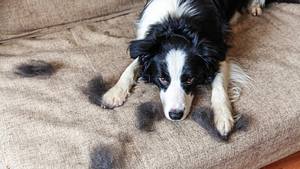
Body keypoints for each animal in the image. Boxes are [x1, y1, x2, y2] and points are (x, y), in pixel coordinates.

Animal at [101, 0, 296, 137]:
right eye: (162, 78)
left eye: (190, 79)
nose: (176, 115)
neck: (177, 26)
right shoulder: (146, 45)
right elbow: (132, 66)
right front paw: (114, 93)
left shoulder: (218, 50)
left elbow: (219, 87)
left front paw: (223, 117)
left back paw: (254, 6)